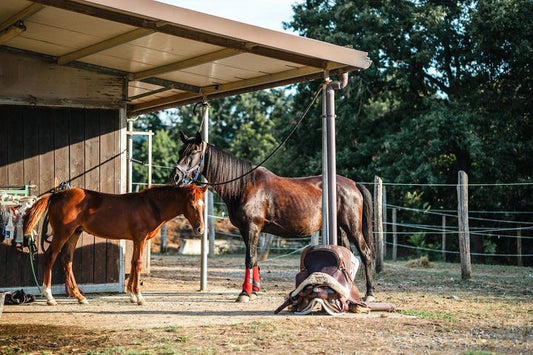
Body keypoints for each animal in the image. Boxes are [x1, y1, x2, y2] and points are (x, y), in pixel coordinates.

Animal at [23, 184, 206, 306]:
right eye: (191, 205)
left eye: (203, 205)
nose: (200, 229)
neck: (151, 206)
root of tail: (57, 195)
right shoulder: (140, 238)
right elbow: (138, 264)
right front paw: (139, 297)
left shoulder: (137, 240)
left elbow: (132, 263)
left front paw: (131, 294)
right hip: (63, 233)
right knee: (51, 256)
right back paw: (49, 297)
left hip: (74, 233)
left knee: (66, 259)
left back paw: (80, 297)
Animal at [170, 134, 374, 304]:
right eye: (180, 151)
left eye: (193, 152)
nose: (176, 176)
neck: (244, 186)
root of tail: (353, 184)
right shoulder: (245, 230)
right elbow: (253, 259)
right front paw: (254, 290)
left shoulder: (252, 228)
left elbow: (249, 258)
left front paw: (244, 293)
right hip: (341, 229)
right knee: (348, 255)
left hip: (352, 227)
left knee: (365, 254)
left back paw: (369, 293)